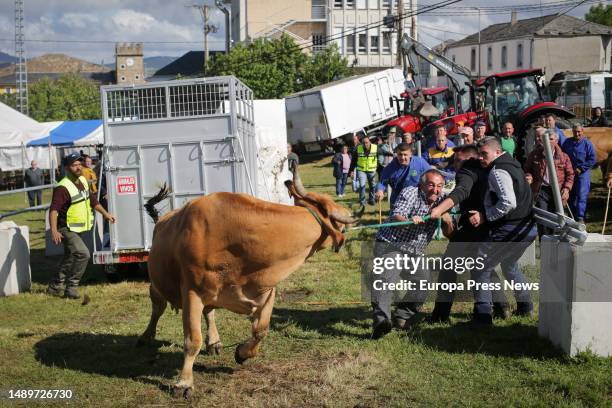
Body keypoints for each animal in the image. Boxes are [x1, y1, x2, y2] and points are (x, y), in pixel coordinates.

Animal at [137, 170, 358, 398]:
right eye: (335, 210)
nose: (349, 212)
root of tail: (161, 220)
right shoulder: (192, 292)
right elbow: (192, 341)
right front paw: (184, 383)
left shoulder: (265, 291)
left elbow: (261, 330)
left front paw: (242, 353)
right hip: (156, 285)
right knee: (158, 308)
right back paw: (146, 336)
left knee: (210, 312)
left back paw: (214, 341)